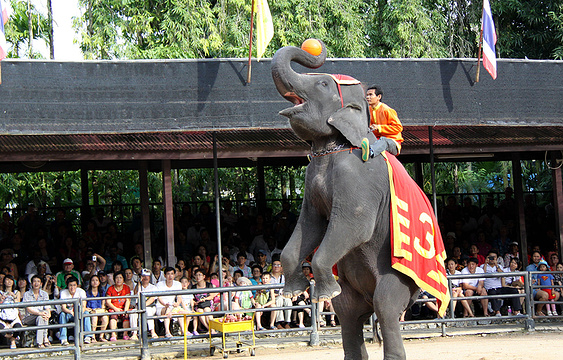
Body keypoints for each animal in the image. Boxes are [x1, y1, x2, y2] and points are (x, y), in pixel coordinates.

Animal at [270, 40, 420, 360]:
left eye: (323, 84)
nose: (314, 47)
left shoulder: (359, 177)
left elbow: (354, 226)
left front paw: (321, 292)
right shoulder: (311, 179)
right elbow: (309, 224)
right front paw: (293, 292)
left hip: (401, 279)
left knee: (386, 308)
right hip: (354, 293)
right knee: (348, 313)